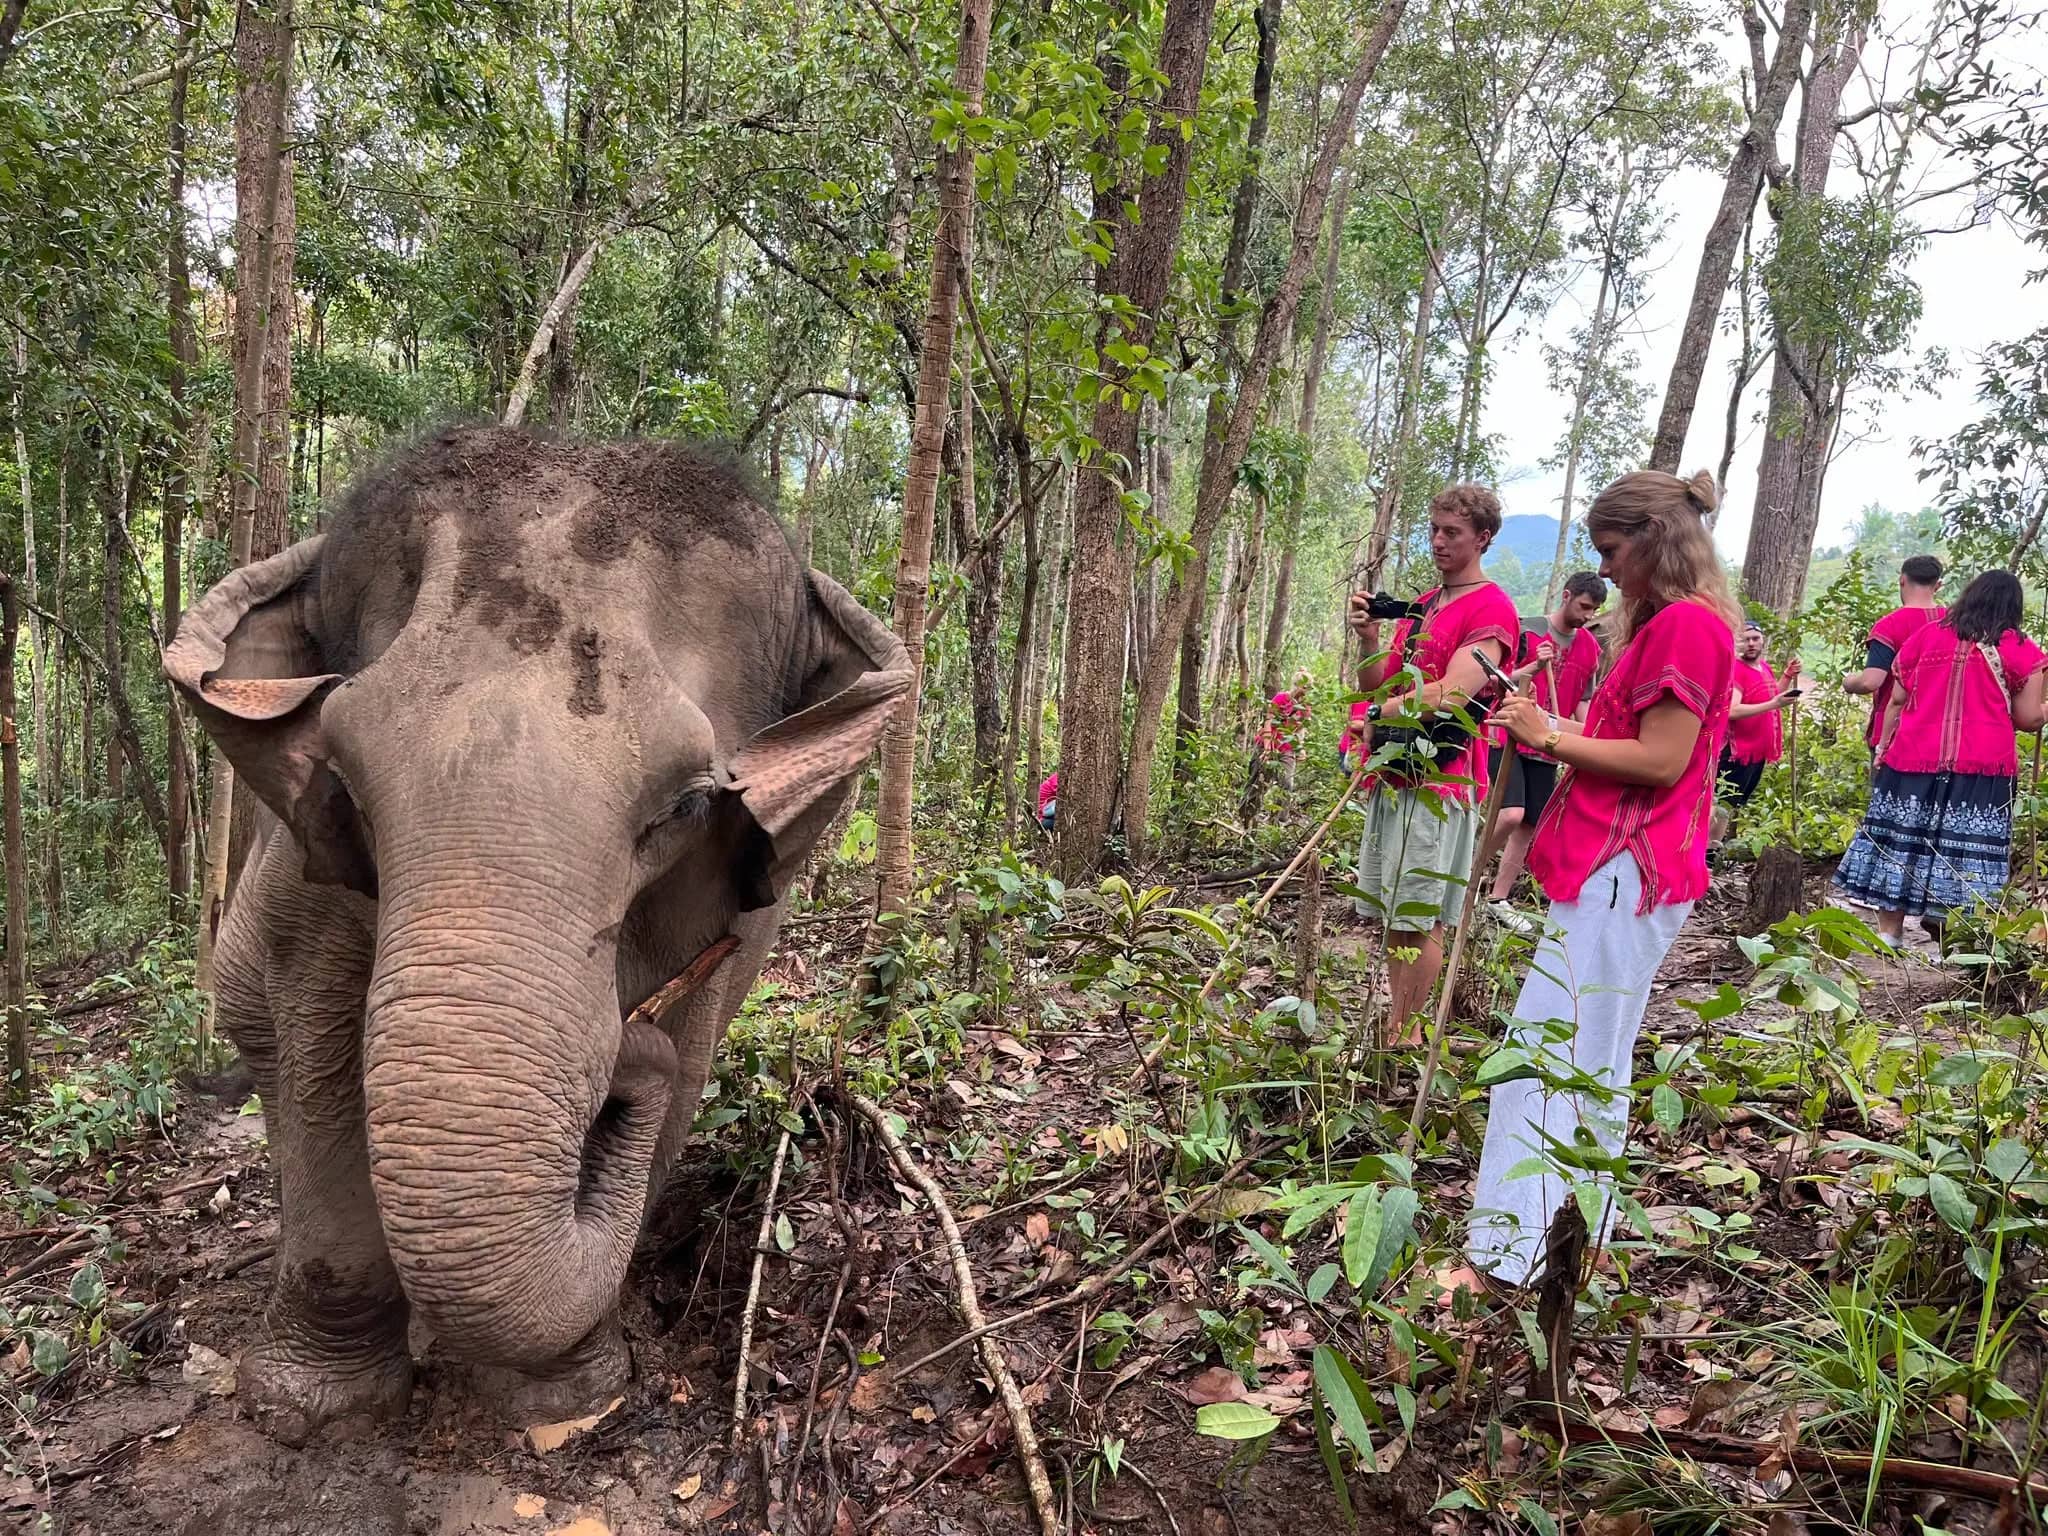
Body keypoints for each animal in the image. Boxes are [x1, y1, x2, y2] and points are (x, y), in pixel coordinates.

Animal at [163, 427, 909, 1443]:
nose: (626, 1051)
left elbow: (686, 1062)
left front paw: (564, 1403)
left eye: (686, 804)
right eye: (346, 787)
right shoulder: (313, 889)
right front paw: (311, 1408)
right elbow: (317, 1035)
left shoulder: (716, 921)